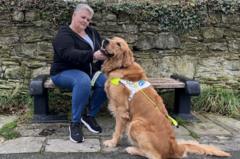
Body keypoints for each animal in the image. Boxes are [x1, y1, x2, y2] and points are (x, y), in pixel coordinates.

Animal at [101, 36, 231, 158]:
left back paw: (132, 149)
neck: (121, 66)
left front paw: (112, 143)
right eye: (112, 38)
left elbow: (117, 130)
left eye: (118, 44)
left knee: (154, 155)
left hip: (136, 124)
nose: (105, 40)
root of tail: (175, 147)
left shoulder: (121, 109)